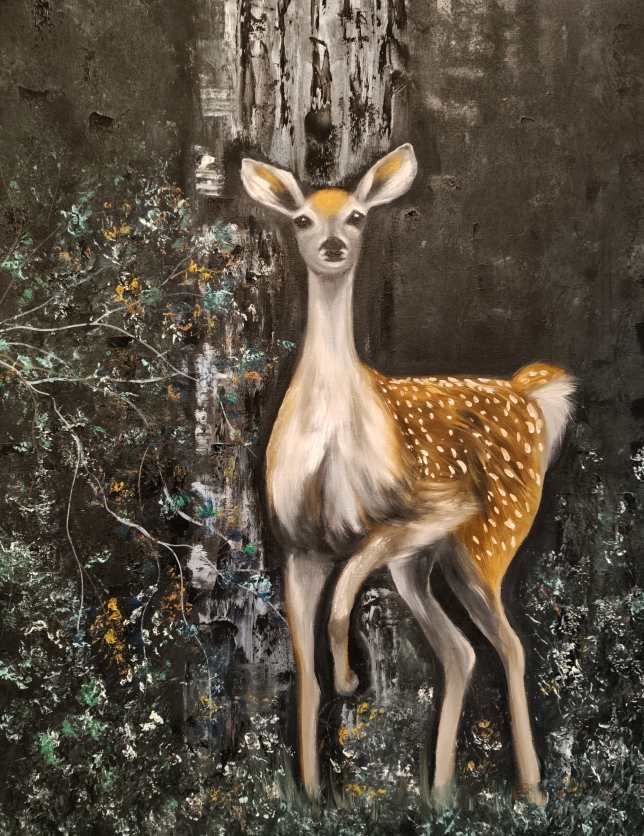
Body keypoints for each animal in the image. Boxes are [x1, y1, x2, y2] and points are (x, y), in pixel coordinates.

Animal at [240, 144, 574, 807]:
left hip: (488, 537)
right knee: (461, 652)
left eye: (358, 216)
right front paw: (311, 793)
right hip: (423, 564)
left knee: (510, 646)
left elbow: (344, 596)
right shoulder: (297, 545)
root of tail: (532, 396)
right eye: (302, 220)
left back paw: (530, 790)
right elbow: (305, 673)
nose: (333, 247)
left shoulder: (429, 507)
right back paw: (440, 792)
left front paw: (350, 675)